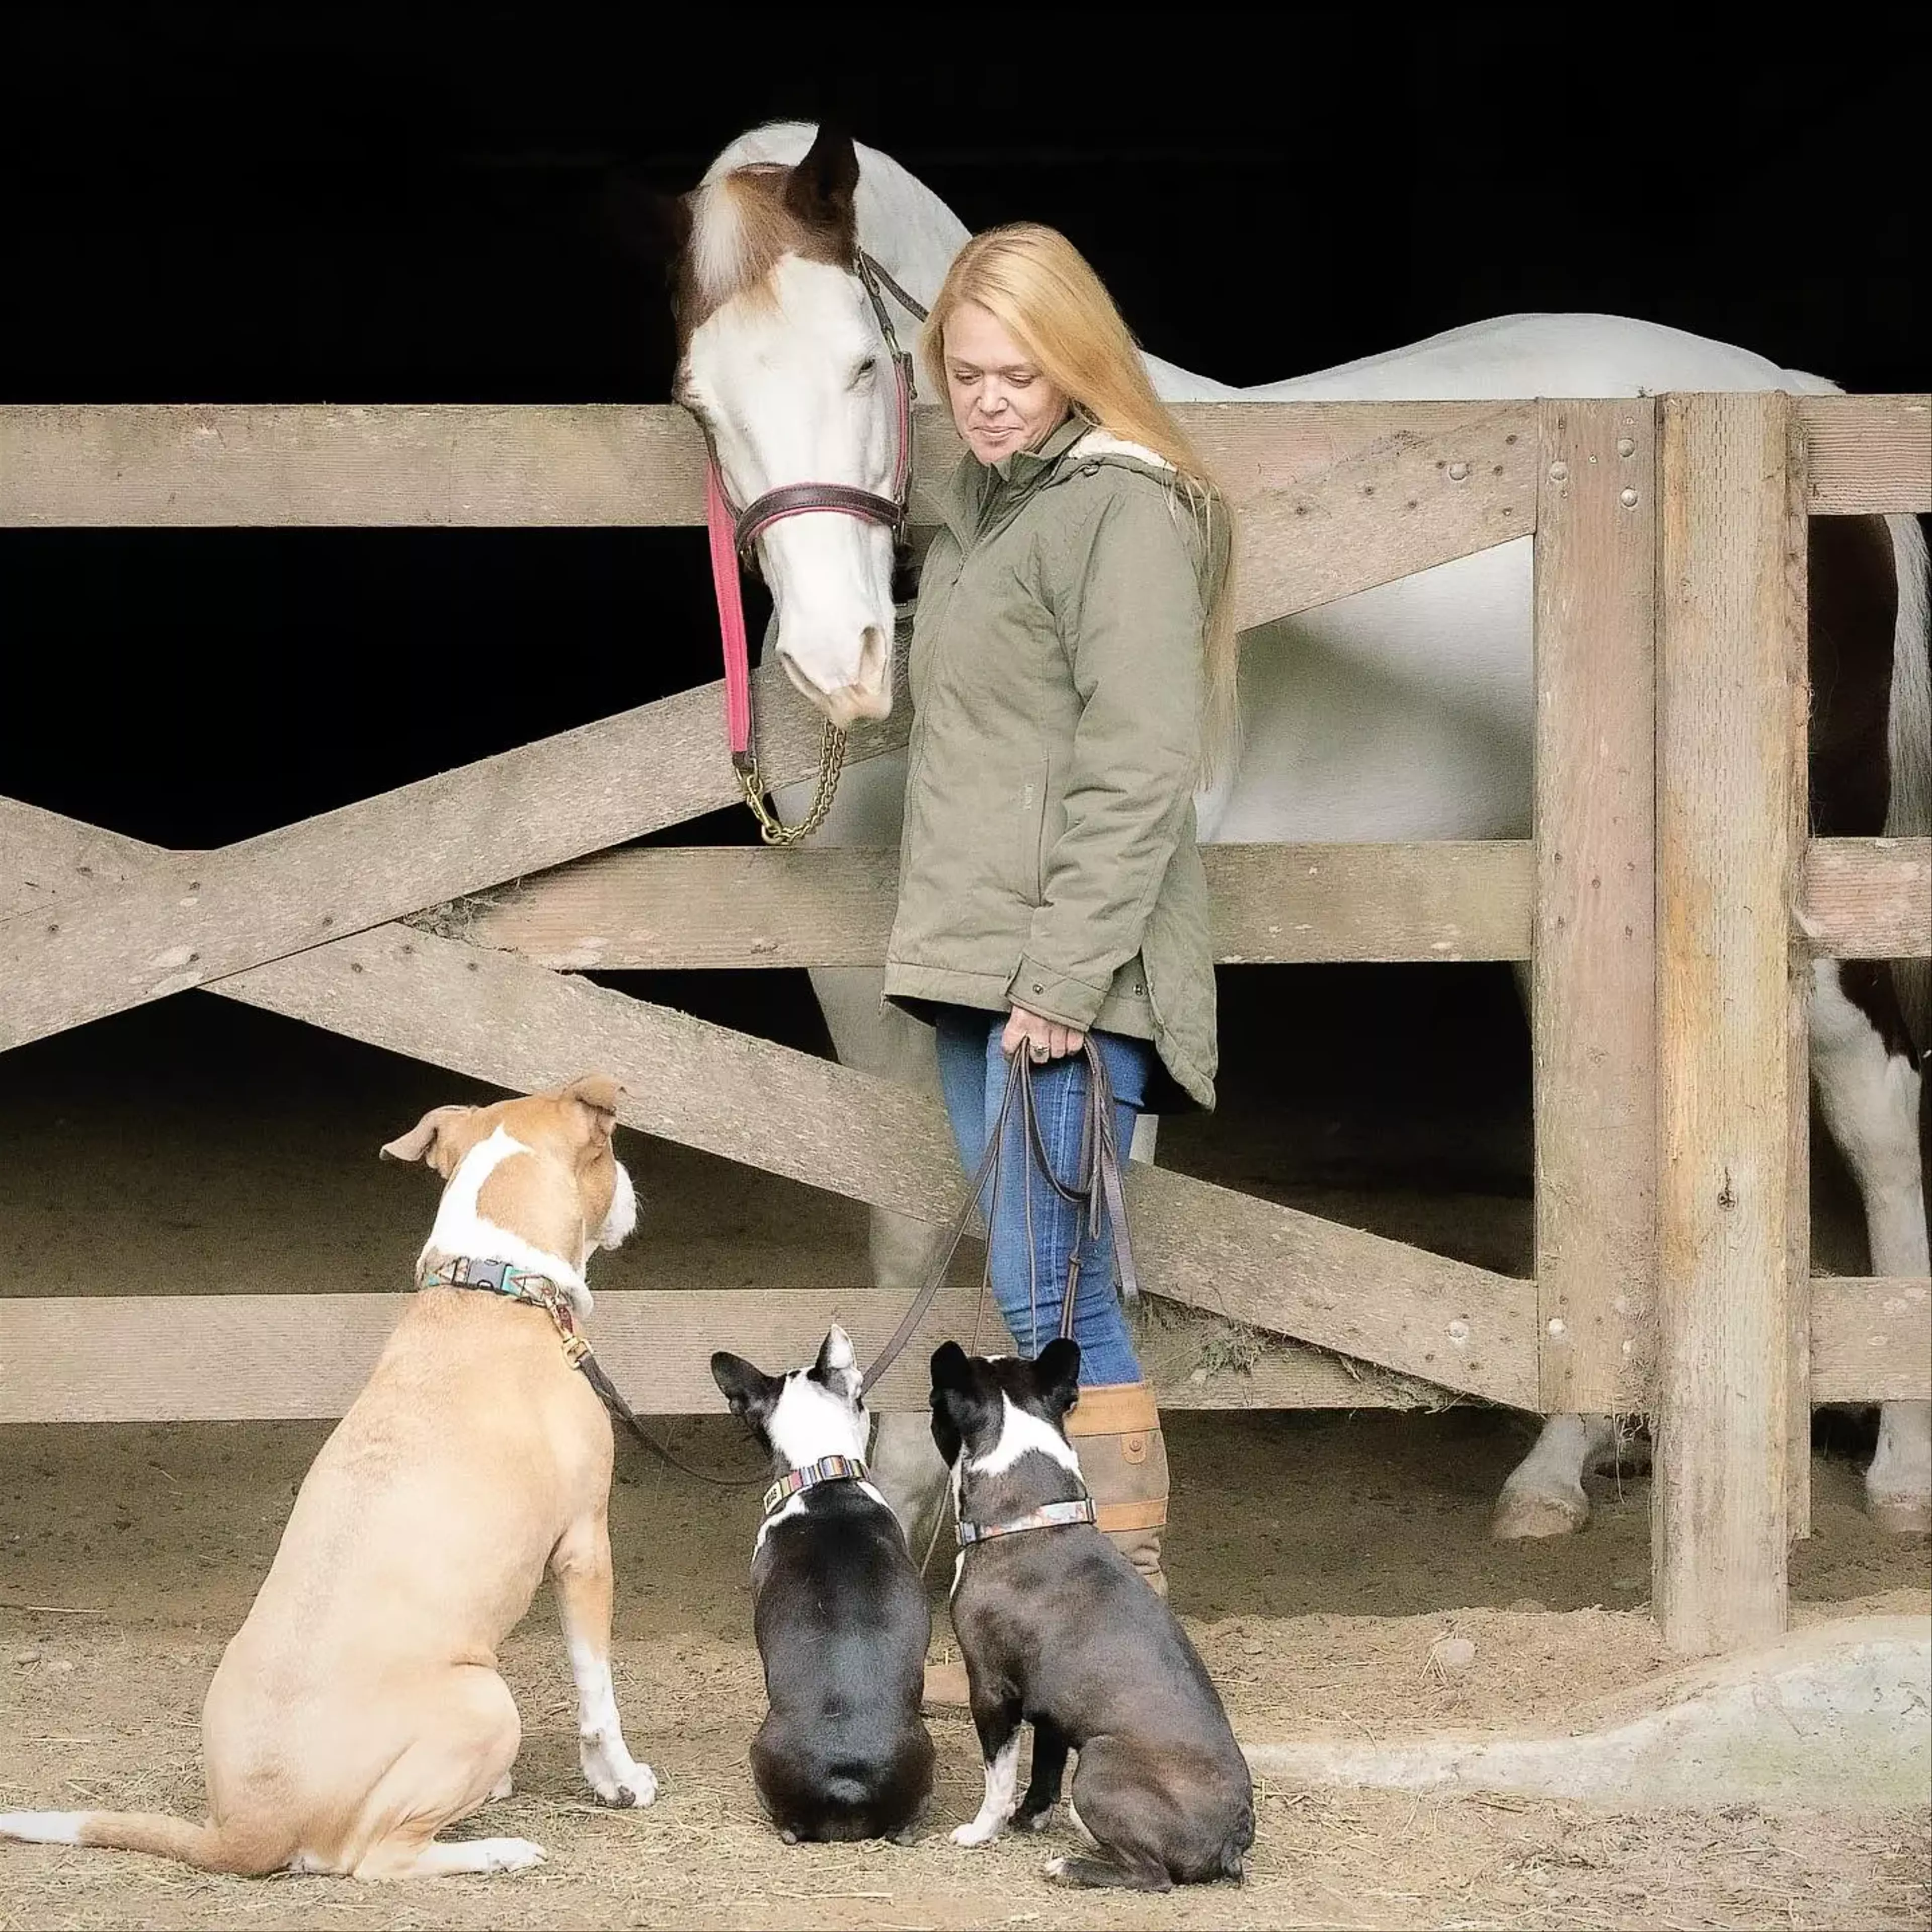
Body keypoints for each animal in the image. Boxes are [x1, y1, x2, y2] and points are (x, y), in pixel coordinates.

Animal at [0, 1074, 657, 1870]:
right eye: (609, 1152)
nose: (637, 1195)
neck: (490, 1284)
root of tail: (244, 1831)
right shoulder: (586, 1547)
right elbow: (599, 1696)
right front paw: (619, 1781)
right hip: (485, 1703)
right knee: (375, 1857)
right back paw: (497, 1849)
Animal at [657, 117, 1924, 1538]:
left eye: (864, 363)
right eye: (702, 403)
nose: (842, 662)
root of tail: (1784, 391)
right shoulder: (857, 970)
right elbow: (897, 1231)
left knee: (1875, 1105)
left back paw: (1898, 1462)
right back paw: (1559, 1466)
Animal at [931, 1337, 1252, 1893]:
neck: (1031, 1517)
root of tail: (1233, 1837)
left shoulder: (991, 1689)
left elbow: (999, 1776)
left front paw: (982, 1830)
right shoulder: (1052, 1711)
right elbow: (1044, 1770)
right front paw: (1029, 1820)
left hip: (1099, 1764)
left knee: (1152, 1875)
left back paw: (1071, 1866)